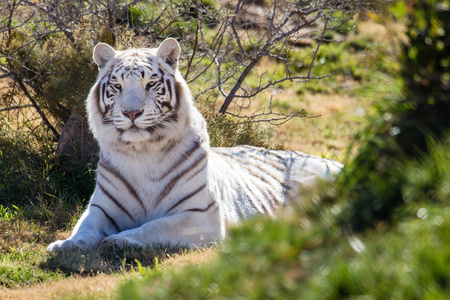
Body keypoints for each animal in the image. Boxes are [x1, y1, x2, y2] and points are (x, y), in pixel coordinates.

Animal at [47, 38, 342, 252]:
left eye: (150, 83)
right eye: (117, 86)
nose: (132, 113)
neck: (143, 152)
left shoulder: (200, 214)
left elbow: (156, 226)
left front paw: (120, 240)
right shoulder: (101, 208)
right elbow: (84, 227)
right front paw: (66, 245)